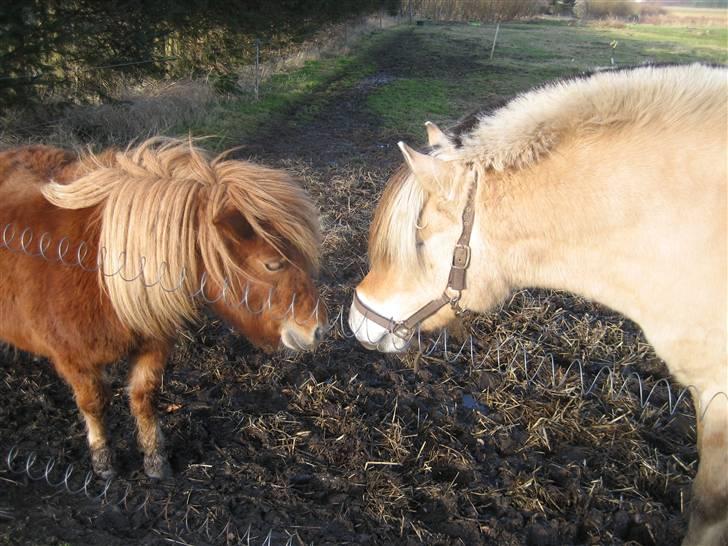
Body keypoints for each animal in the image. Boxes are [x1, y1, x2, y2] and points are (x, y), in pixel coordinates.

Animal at [0, 136, 324, 476]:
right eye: (272, 264)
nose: (317, 330)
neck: (100, 273)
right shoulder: (74, 360)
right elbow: (94, 403)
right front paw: (103, 460)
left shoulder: (153, 344)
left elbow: (145, 397)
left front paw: (155, 459)